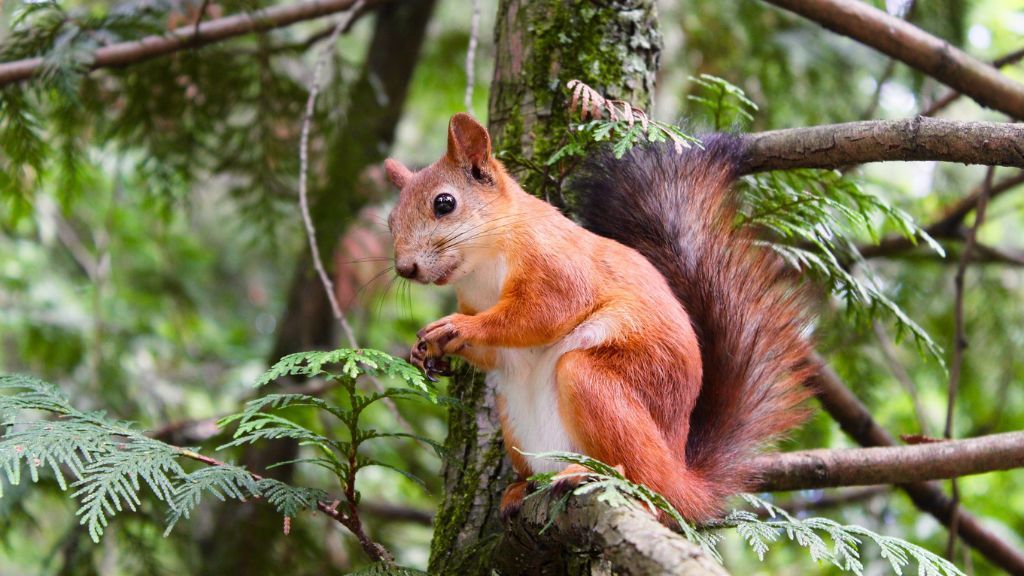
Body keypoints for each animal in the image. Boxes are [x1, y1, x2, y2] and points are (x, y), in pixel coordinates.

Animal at [385, 112, 815, 520]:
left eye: (444, 203)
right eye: (390, 221)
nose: (405, 268)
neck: (482, 266)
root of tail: (681, 478)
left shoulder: (557, 265)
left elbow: (540, 314)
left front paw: (457, 327)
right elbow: (495, 352)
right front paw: (427, 351)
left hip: (598, 384)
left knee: (644, 482)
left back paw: (592, 474)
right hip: (515, 420)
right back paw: (521, 488)